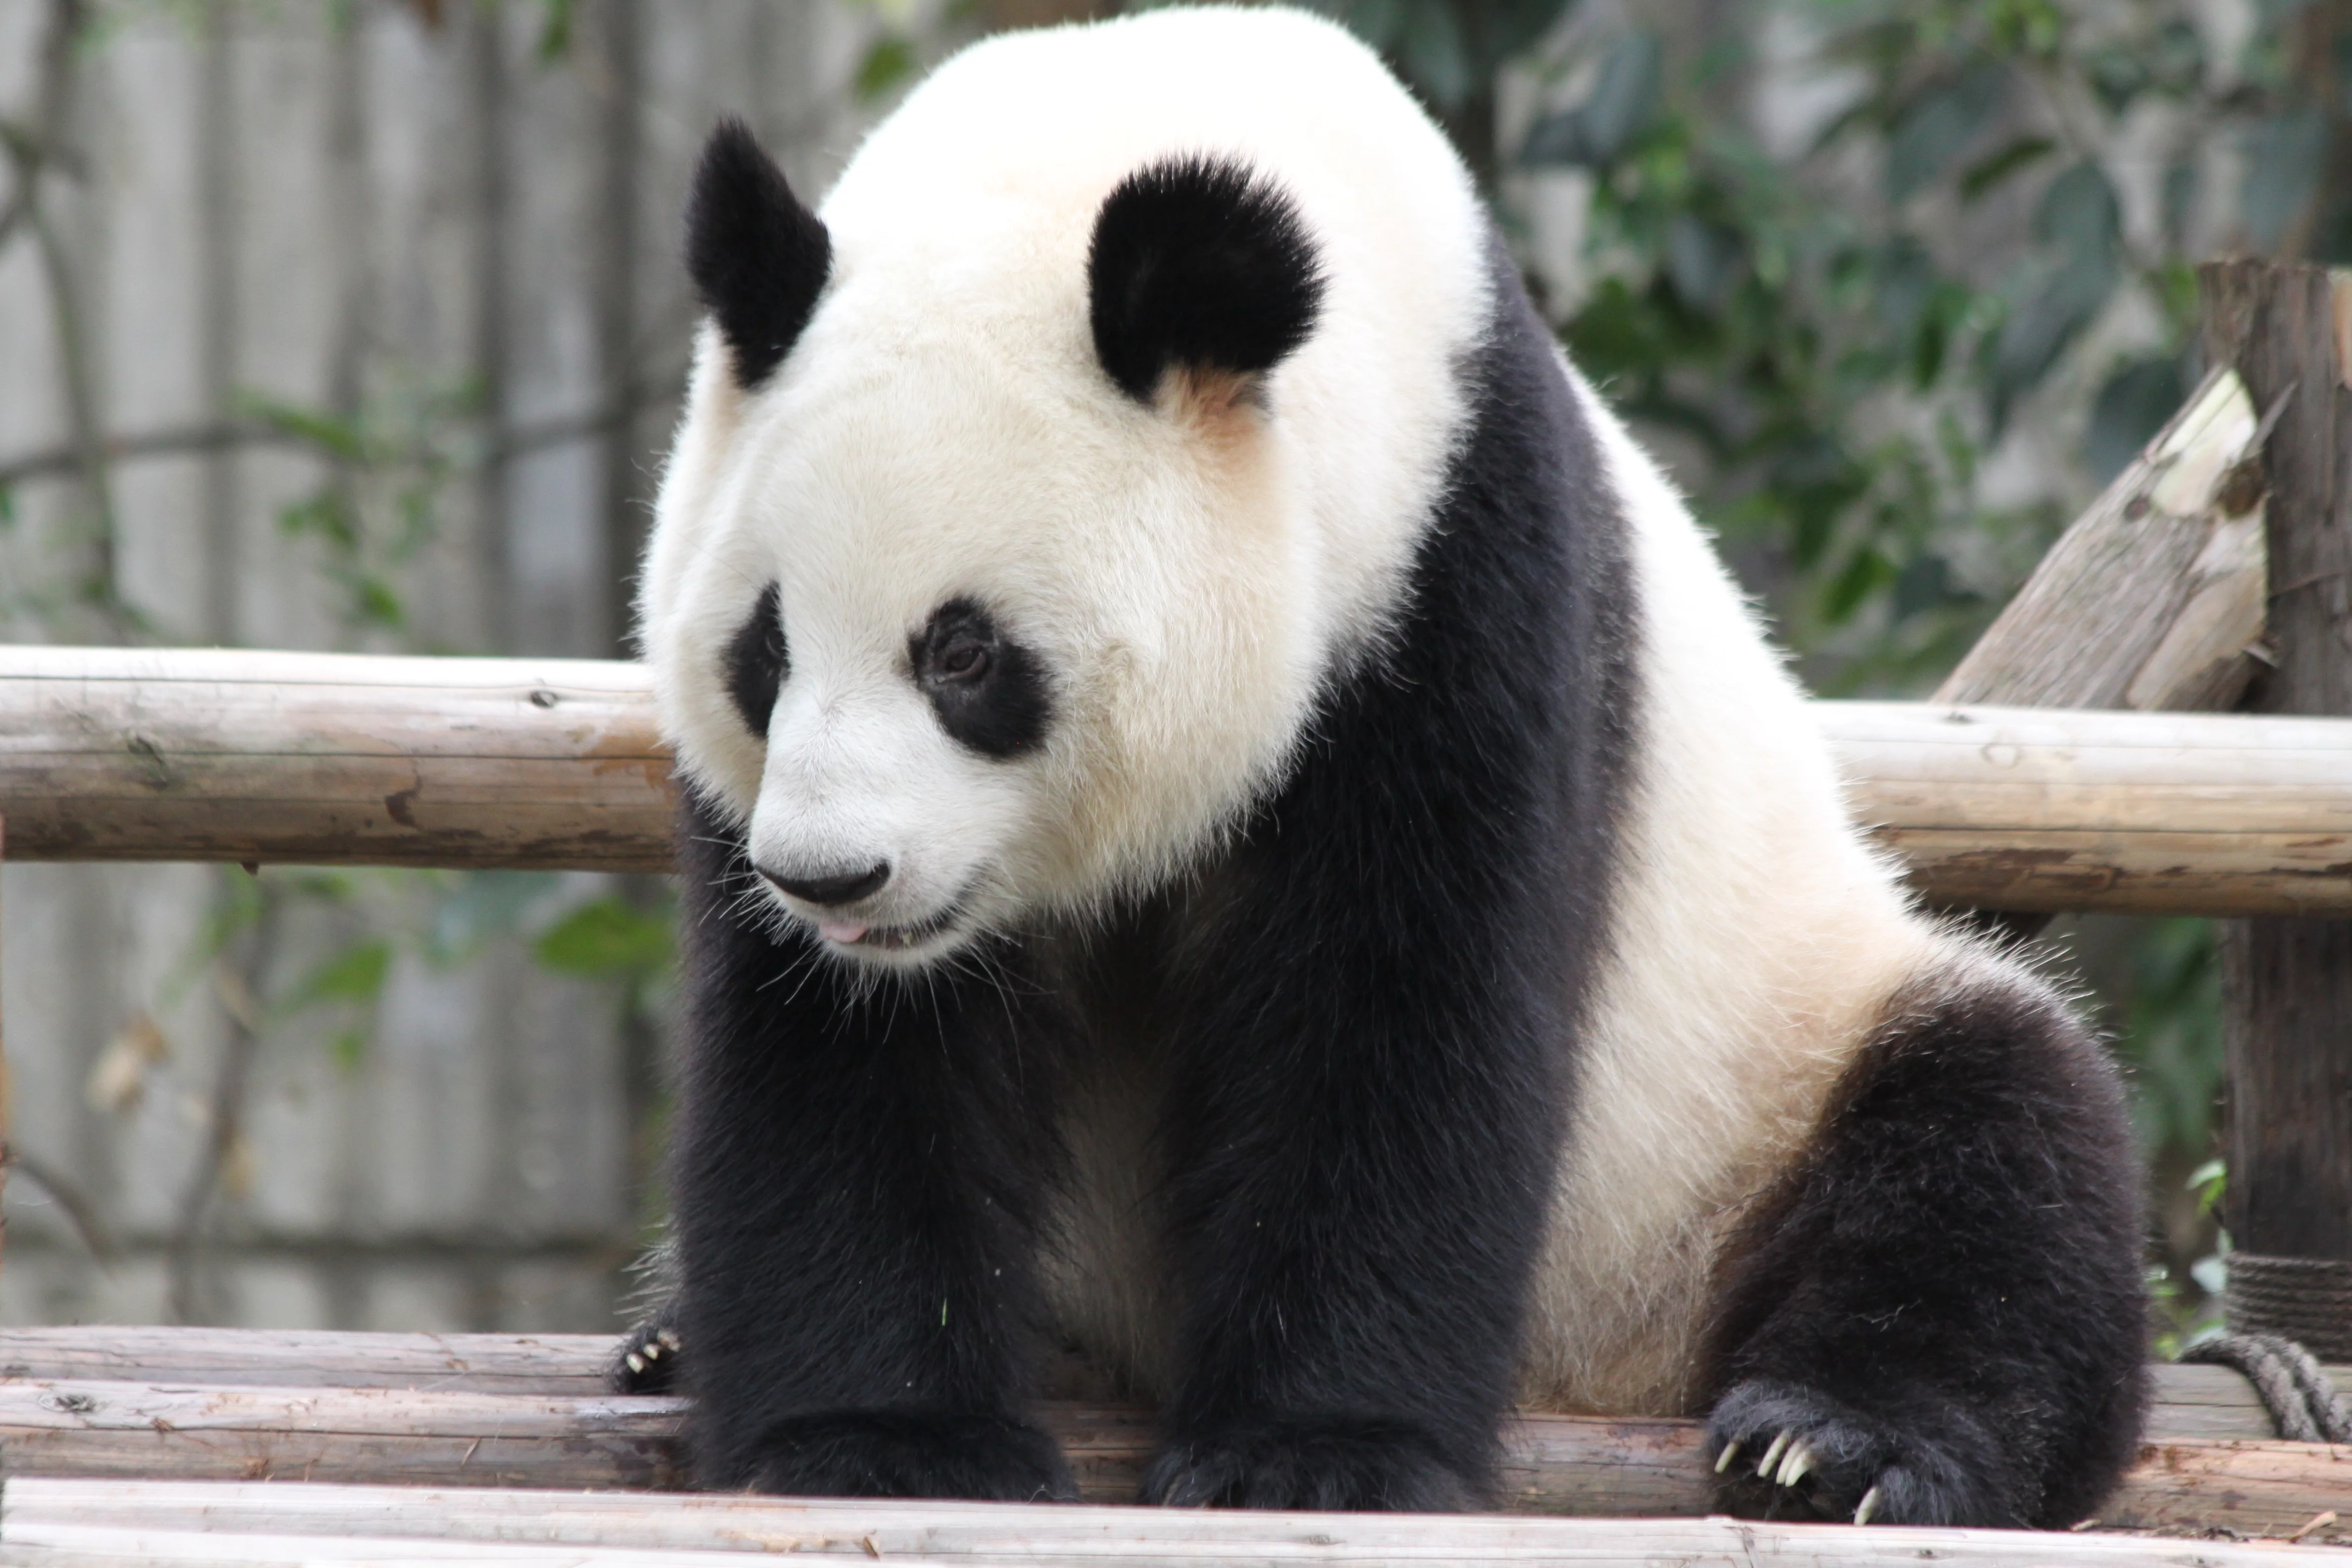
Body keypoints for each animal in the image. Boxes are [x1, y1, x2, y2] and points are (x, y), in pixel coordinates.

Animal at [624, 4, 2146, 1526]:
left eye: (961, 653)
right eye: (764, 648)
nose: (831, 877)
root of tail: (1611, 1373)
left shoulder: (1458, 568)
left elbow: (1392, 1003)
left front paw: (1308, 1449)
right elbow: (850, 1063)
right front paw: (886, 1437)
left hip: (1753, 1086)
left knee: (1994, 1140)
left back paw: (1835, 1441)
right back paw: (671, 1336)